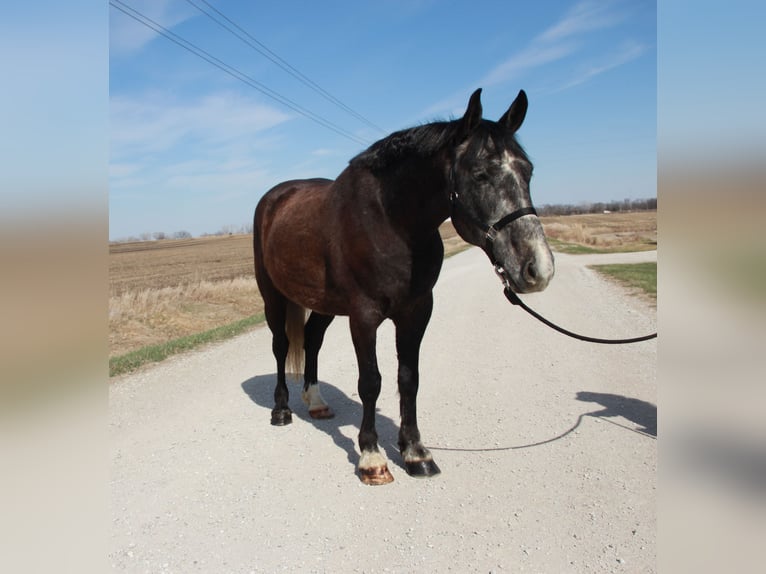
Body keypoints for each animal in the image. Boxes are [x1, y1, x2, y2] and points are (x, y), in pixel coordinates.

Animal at [253, 88, 554, 485]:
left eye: (528, 170)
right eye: (480, 174)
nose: (538, 268)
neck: (390, 221)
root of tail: (275, 197)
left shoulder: (417, 311)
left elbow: (408, 379)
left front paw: (415, 453)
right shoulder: (363, 316)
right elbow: (371, 382)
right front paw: (371, 457)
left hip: (324, 303)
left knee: (313, 339)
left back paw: (316, 403)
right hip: (272, 296)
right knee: (281, 345)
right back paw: (281, 410)